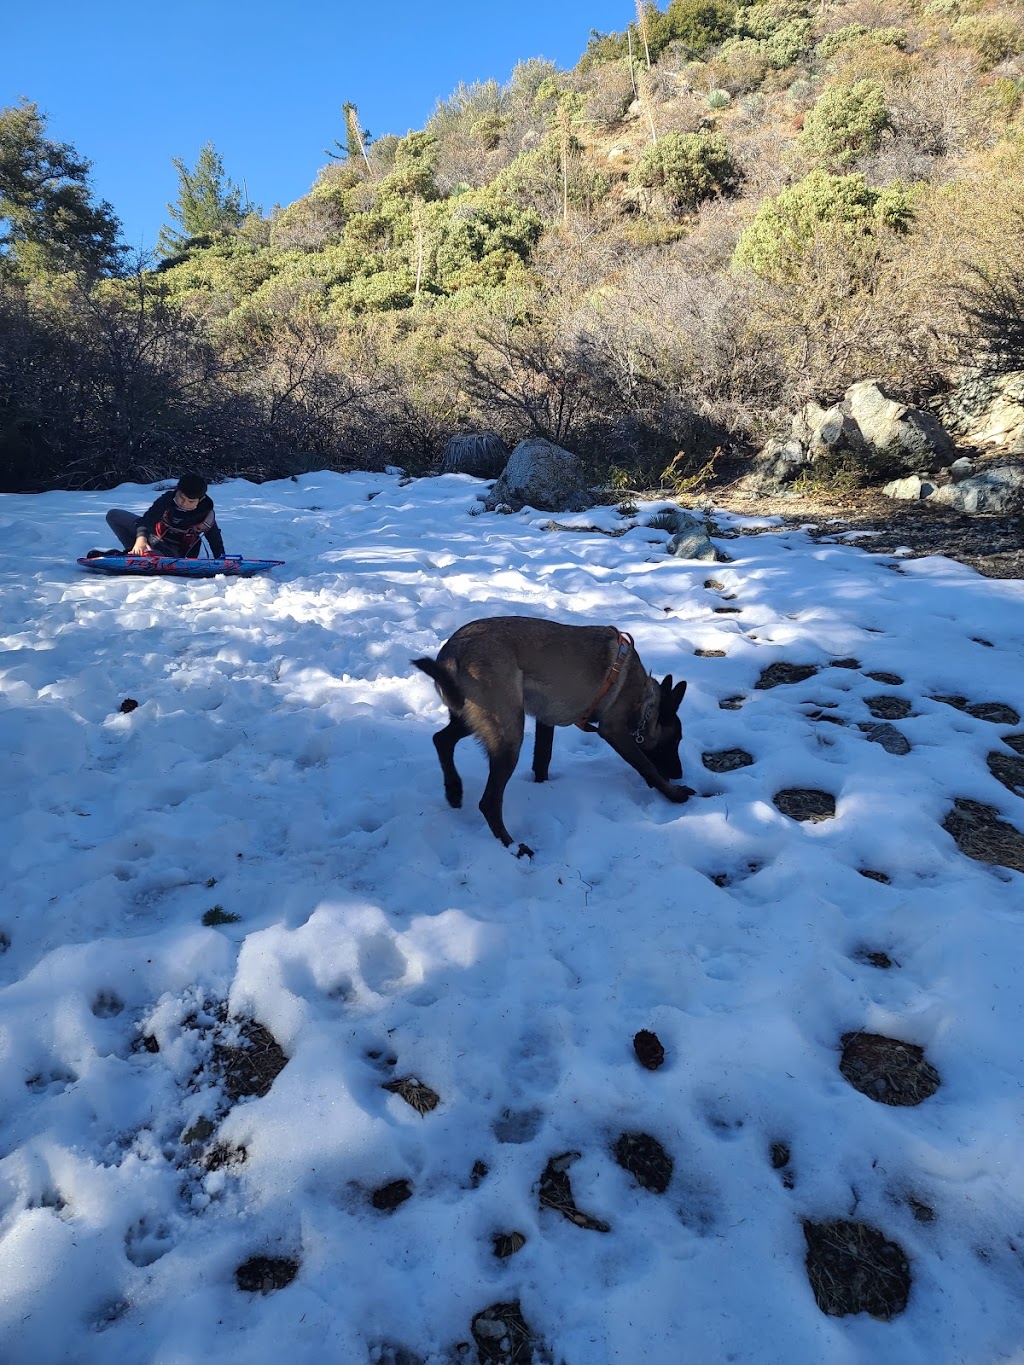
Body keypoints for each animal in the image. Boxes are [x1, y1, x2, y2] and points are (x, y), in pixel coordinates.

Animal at [412, 616, 693, 851]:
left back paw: (454, 791)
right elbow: (647, 766)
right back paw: (514, 848)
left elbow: (542, 759)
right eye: (675, 741)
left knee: (441, 739)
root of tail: (453, 652)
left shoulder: (545, 721)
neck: (644, 700)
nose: (679, 772)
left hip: (476, 717)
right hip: (509, 733)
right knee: (489, 802)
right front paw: (674, 794)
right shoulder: (613, 730)